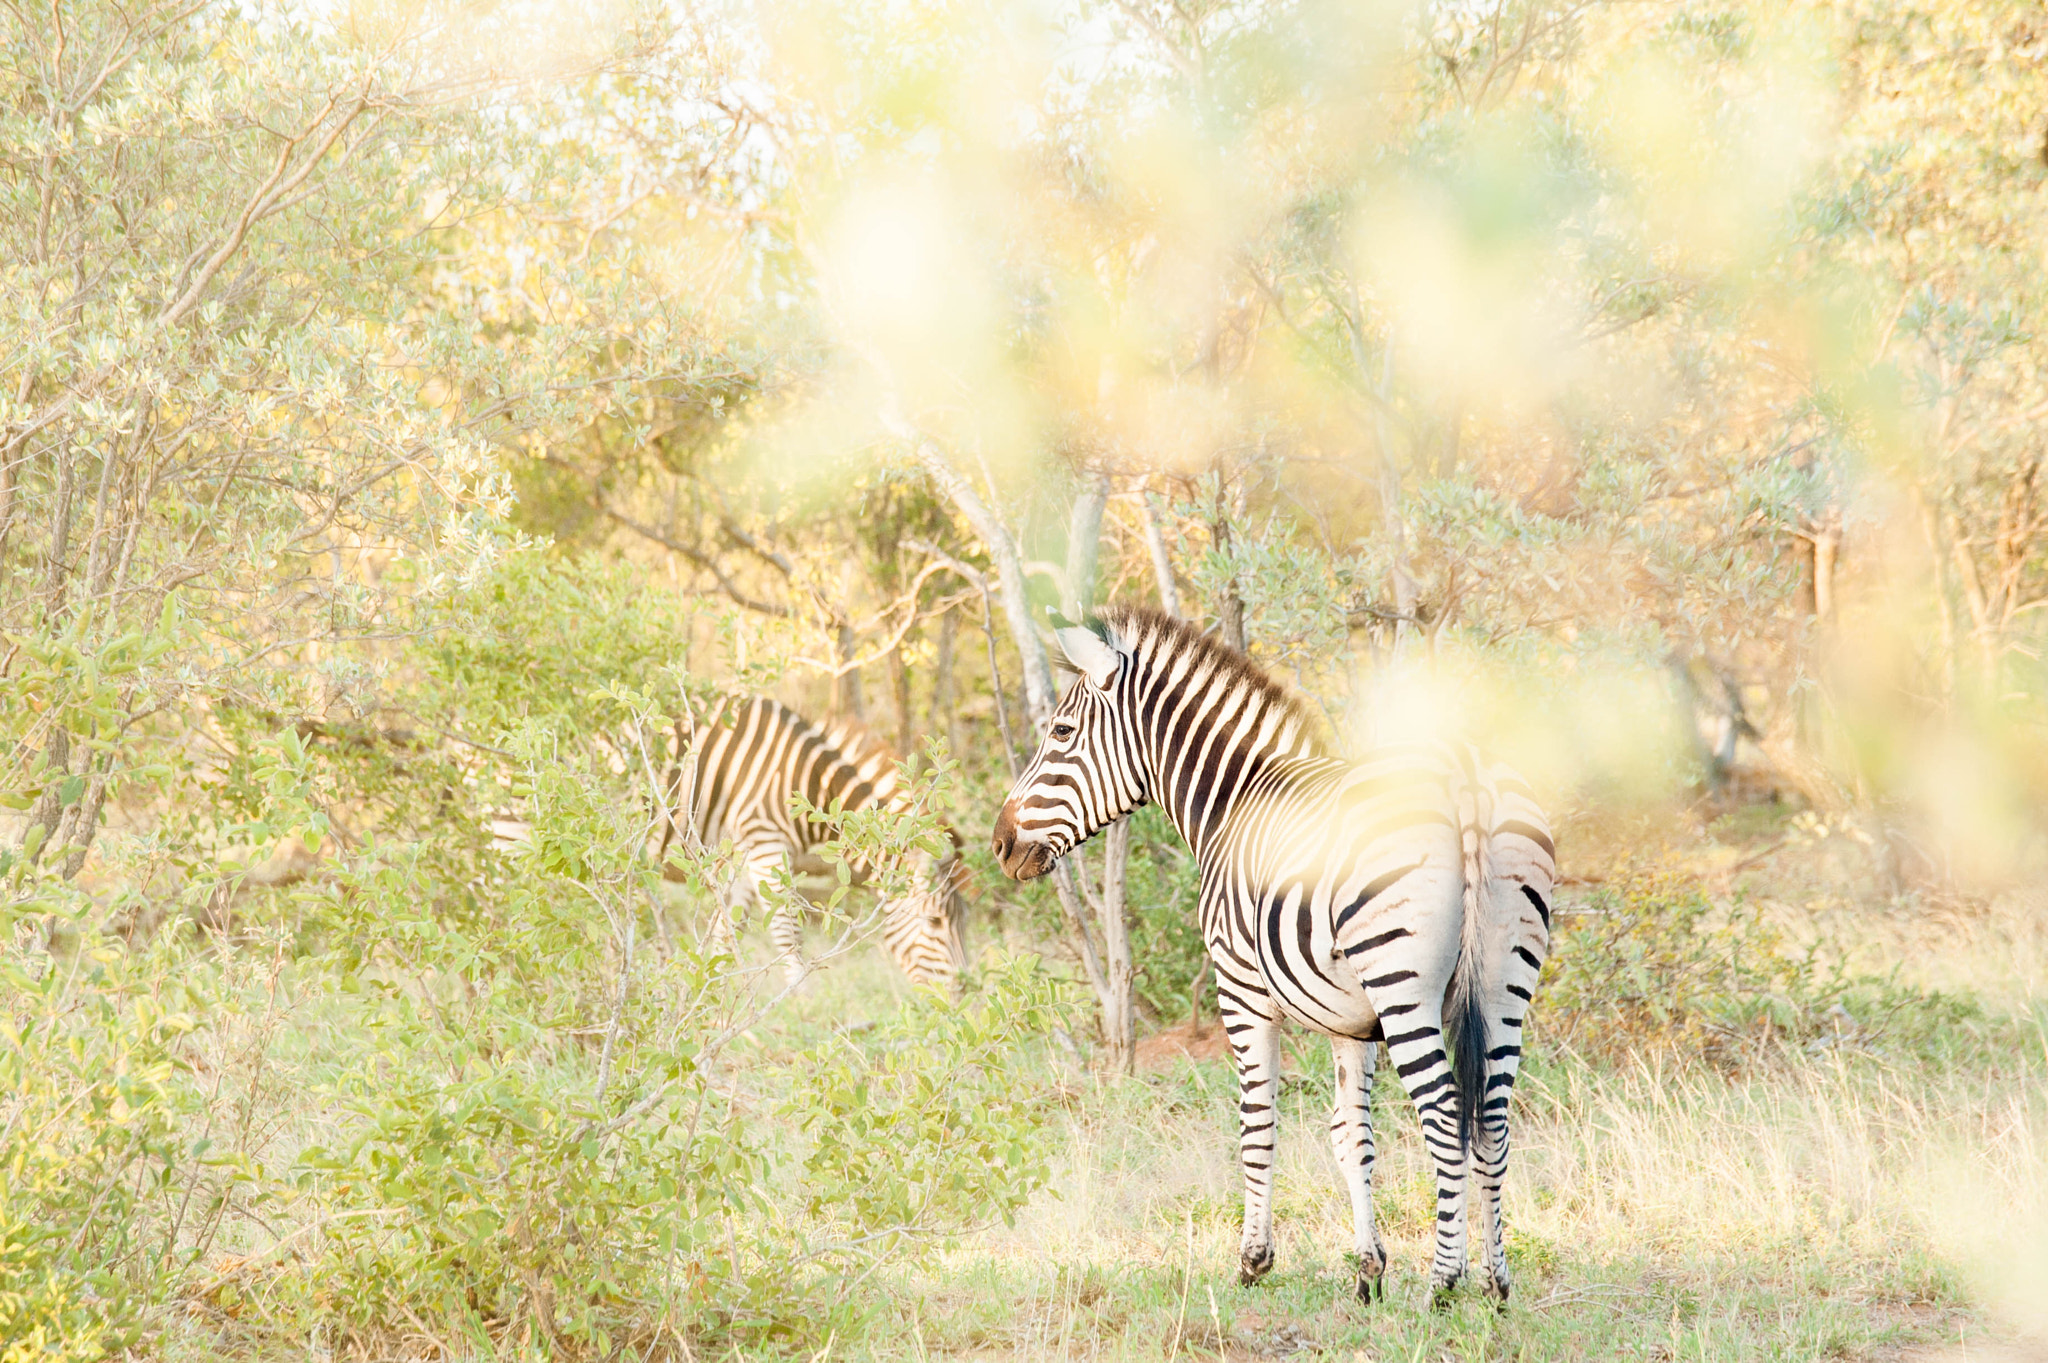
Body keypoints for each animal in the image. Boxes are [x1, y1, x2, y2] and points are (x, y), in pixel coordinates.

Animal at [663, 699, 966, 986]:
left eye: (962, 920)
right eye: (935, 922)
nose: (963, 988)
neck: (811, 784)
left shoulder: (745, 852)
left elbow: (729, 930)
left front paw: (712, 989)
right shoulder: (766, 843)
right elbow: (789, 936)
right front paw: (796, 1001)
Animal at [991, 601, 1548, 1293]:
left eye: (1062, 732)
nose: (1000, 844)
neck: (1236, 802)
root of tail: (1463, 773)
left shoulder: (1240, 989)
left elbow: (1256, 1125)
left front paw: (1253, 1260)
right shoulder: (1351, 1020)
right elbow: (1351, 1135)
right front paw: (1369, 1271)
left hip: (1403, 984)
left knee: (1446, 1117)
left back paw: (1444, 1283)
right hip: (1504, 980)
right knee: (1492, 1117)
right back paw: (1497, 1284)